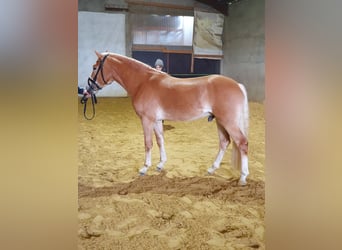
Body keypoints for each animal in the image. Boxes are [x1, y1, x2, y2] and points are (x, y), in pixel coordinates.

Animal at [85, 50, 251, 185]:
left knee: (242, 143)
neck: (143, 81)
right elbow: (160, 140)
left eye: (94, 67)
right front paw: (160, 164)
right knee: (224, 142)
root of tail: (237, 85)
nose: (88, 90)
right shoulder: (157, 121)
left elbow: (148, 143)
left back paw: (243, 177)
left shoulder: (147, 120)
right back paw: (212, 169)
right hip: (220, 121)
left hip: (228, 121)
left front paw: (145, 168)